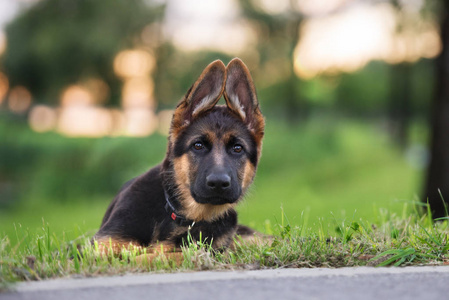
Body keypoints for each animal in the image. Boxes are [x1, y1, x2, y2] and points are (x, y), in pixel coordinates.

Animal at [93, 58, 264, 262]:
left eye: (238, 149)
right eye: (198, 145)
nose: (218, 183)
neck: (180, 216)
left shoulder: (206, 250)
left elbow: (162, 255)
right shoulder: (104, 245)